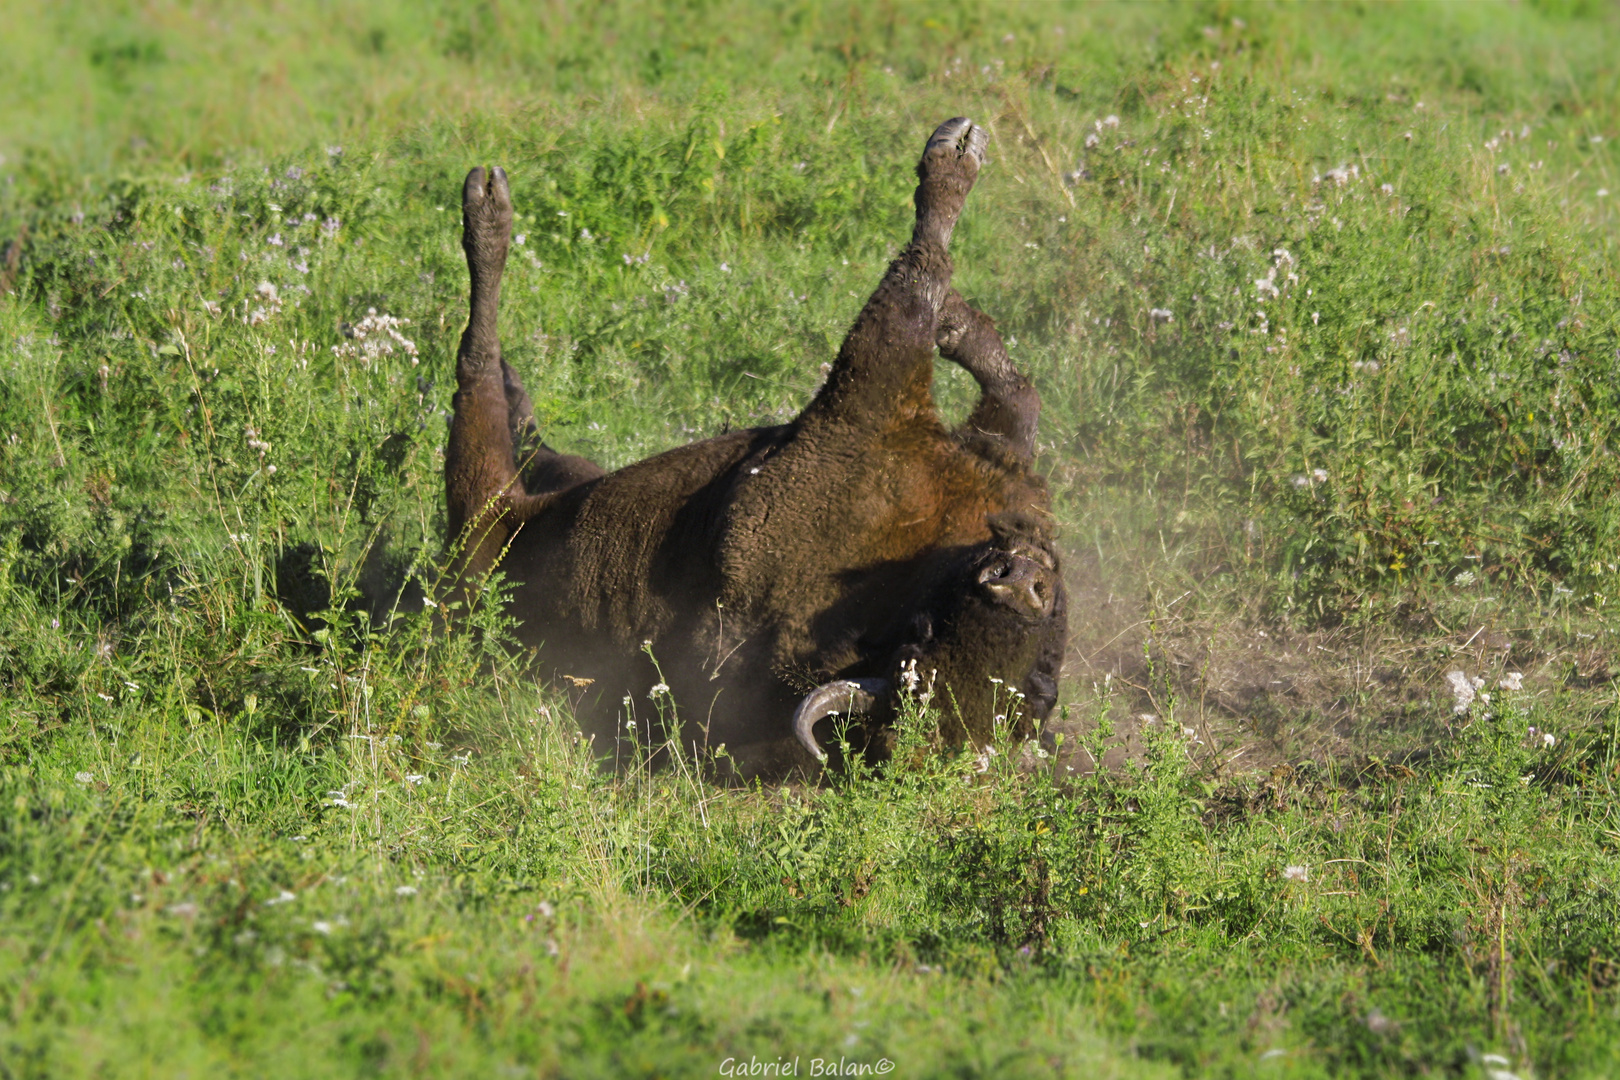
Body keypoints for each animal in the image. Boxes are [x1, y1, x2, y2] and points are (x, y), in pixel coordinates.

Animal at [443, 118, 1062, 777]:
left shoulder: (875, 400)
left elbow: (922, 286)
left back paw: (487, 207)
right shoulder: (968, 448)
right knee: (524, 424)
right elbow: (1004, 386)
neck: (905, 577)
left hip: (482, 513)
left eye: (922, 646)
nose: (1017, 583)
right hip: (543, 486)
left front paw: (951, 165)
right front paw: (958, 316)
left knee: (475, 377)